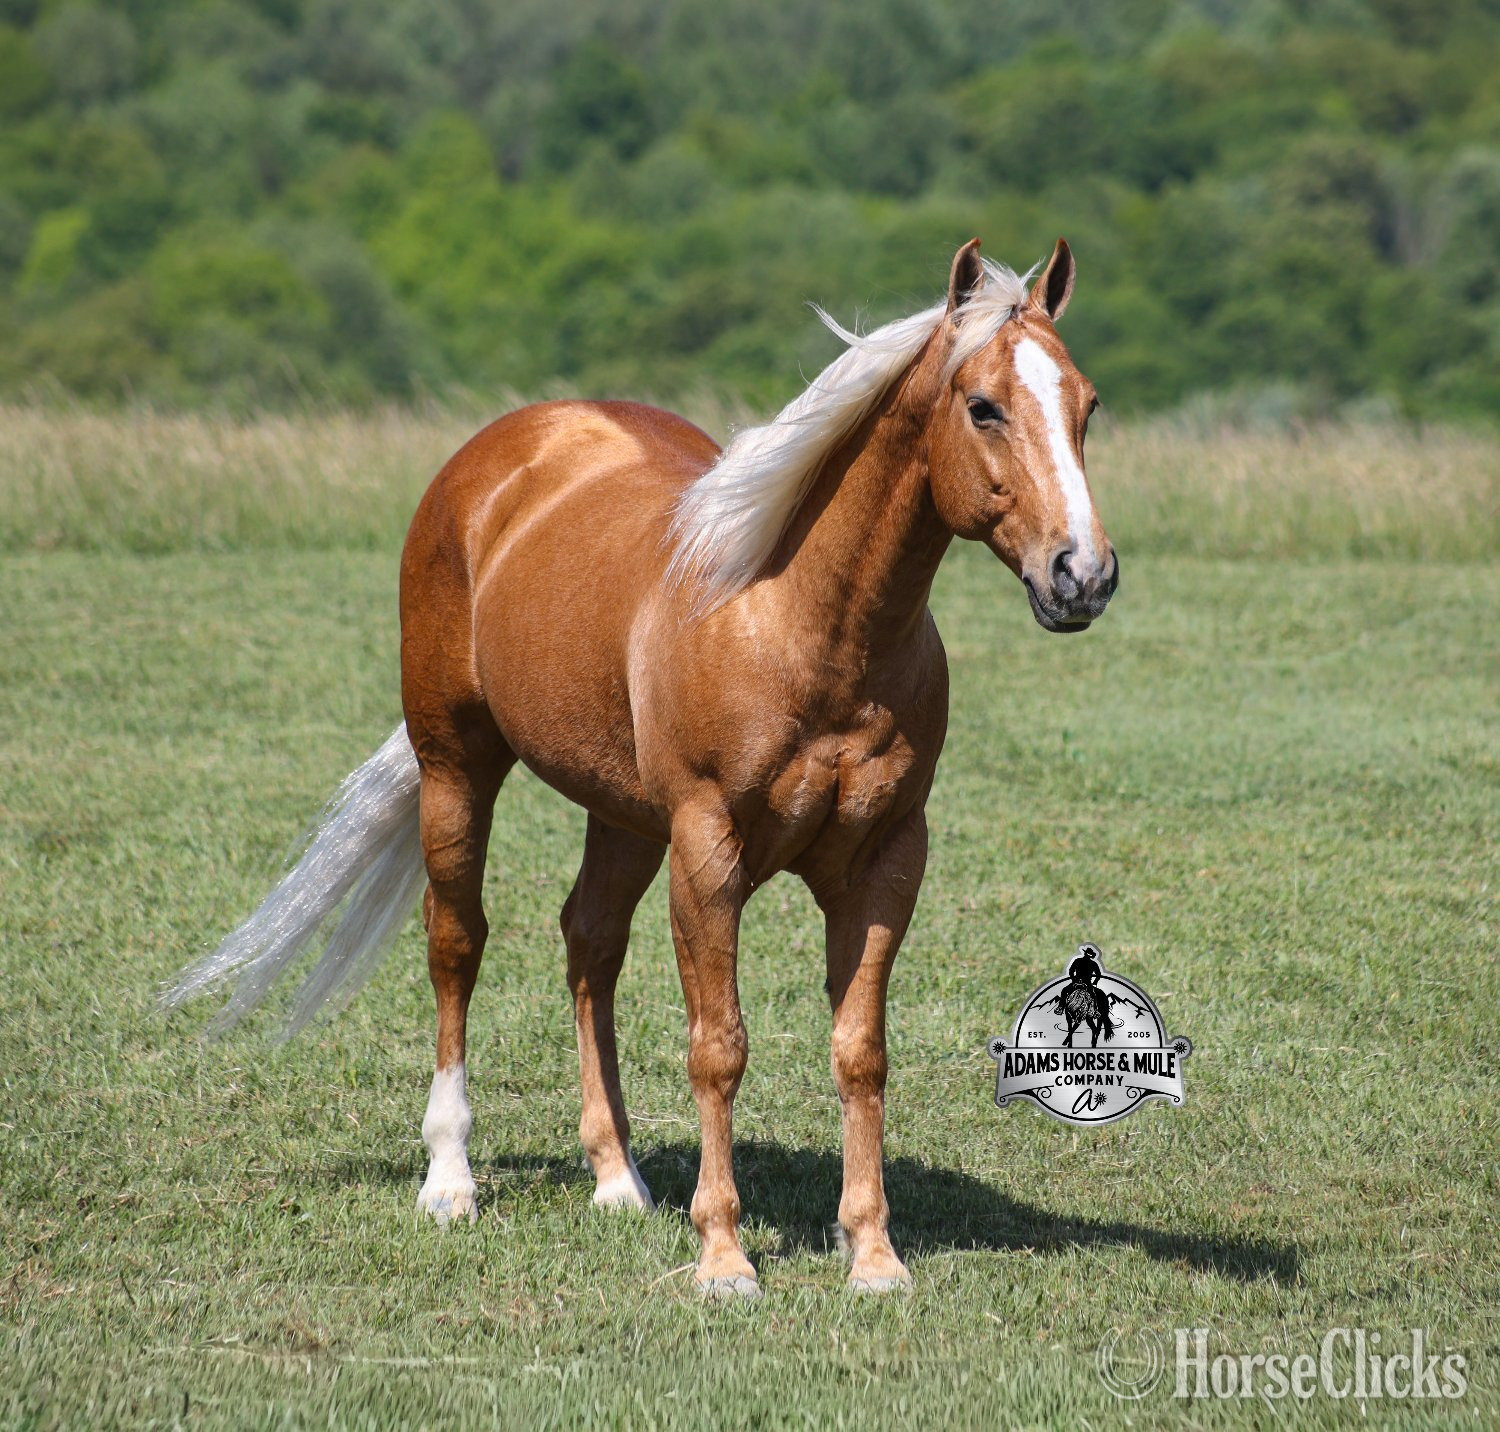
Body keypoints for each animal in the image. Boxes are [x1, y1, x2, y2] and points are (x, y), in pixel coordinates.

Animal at [166, 237, 1118, 1297]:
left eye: (1086, 405)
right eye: (984, 405)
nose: (1082, 575)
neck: (798, 622)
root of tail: (504, 453)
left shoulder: (886, 861)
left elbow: (859, 1051)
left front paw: (872, 1253)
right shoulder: (708, 852)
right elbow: (718, 1047)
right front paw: (724, 1258)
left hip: (620, 815)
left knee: (589, 946)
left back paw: (617, 1179)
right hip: (457, 765)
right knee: (457, 943)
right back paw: (450, 1179)